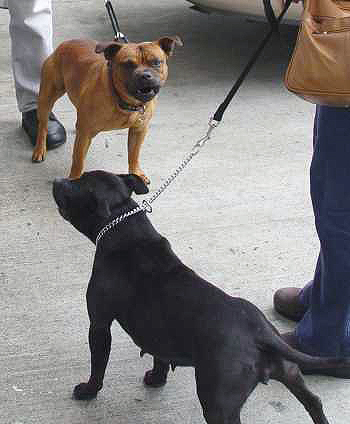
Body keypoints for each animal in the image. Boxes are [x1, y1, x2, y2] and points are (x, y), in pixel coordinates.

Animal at [32, 36, 183, 182]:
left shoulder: (139, 130)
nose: (145, 75)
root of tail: (65, 44)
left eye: (156, 62)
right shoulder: (85, 134)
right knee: (43, 126)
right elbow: (78, 161)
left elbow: (134, 154)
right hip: (46, 98)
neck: (124, 101)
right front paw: (74, 180)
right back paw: (39, 150)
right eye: (128, 64)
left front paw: (136, 173)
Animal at [52, 171, 344, 422]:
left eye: (75, 185)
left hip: (218, 402)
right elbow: (160, 357)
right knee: (314, 401)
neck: (123, 224)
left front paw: (88, 390)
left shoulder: (99, 324)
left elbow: (98, 364)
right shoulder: (159, 333)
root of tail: (260, 333)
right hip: (291, 372)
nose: (57, 181)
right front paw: (156, 378)